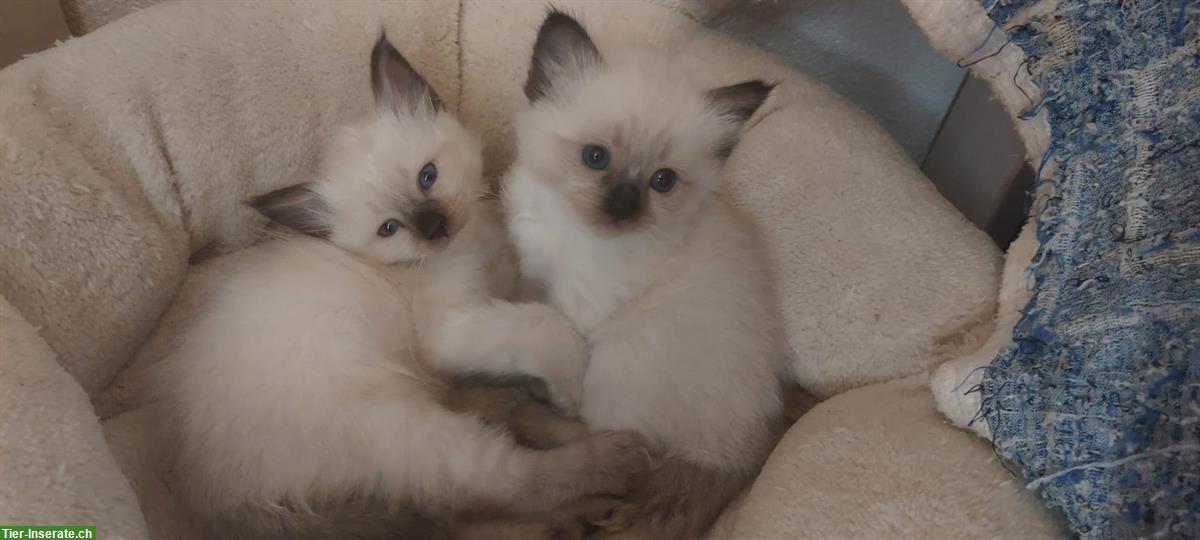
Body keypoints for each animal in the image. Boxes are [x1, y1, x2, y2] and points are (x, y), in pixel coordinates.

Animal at [166, 34, 648, 540]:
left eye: (427, 177)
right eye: (390, 229)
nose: (434, 227)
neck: (473, 240)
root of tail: (225, 506)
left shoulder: (502, 288)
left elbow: (525, 326)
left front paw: (542, 387)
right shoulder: (453, 328)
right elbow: (543, 325)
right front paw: (569, 383)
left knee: (462, 498)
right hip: (403, 425)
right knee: (497, 486)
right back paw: (617, 463)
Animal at [496, 10, 806, 537]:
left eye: (663, 181)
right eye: (595, 157)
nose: (623, 208)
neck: (567, 226)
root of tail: (740, 459)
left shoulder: (581, 310)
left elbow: (553, 345)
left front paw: (539, 384)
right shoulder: (533, 267)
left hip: (619, 359)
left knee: (626, 445)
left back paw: (539, 422)